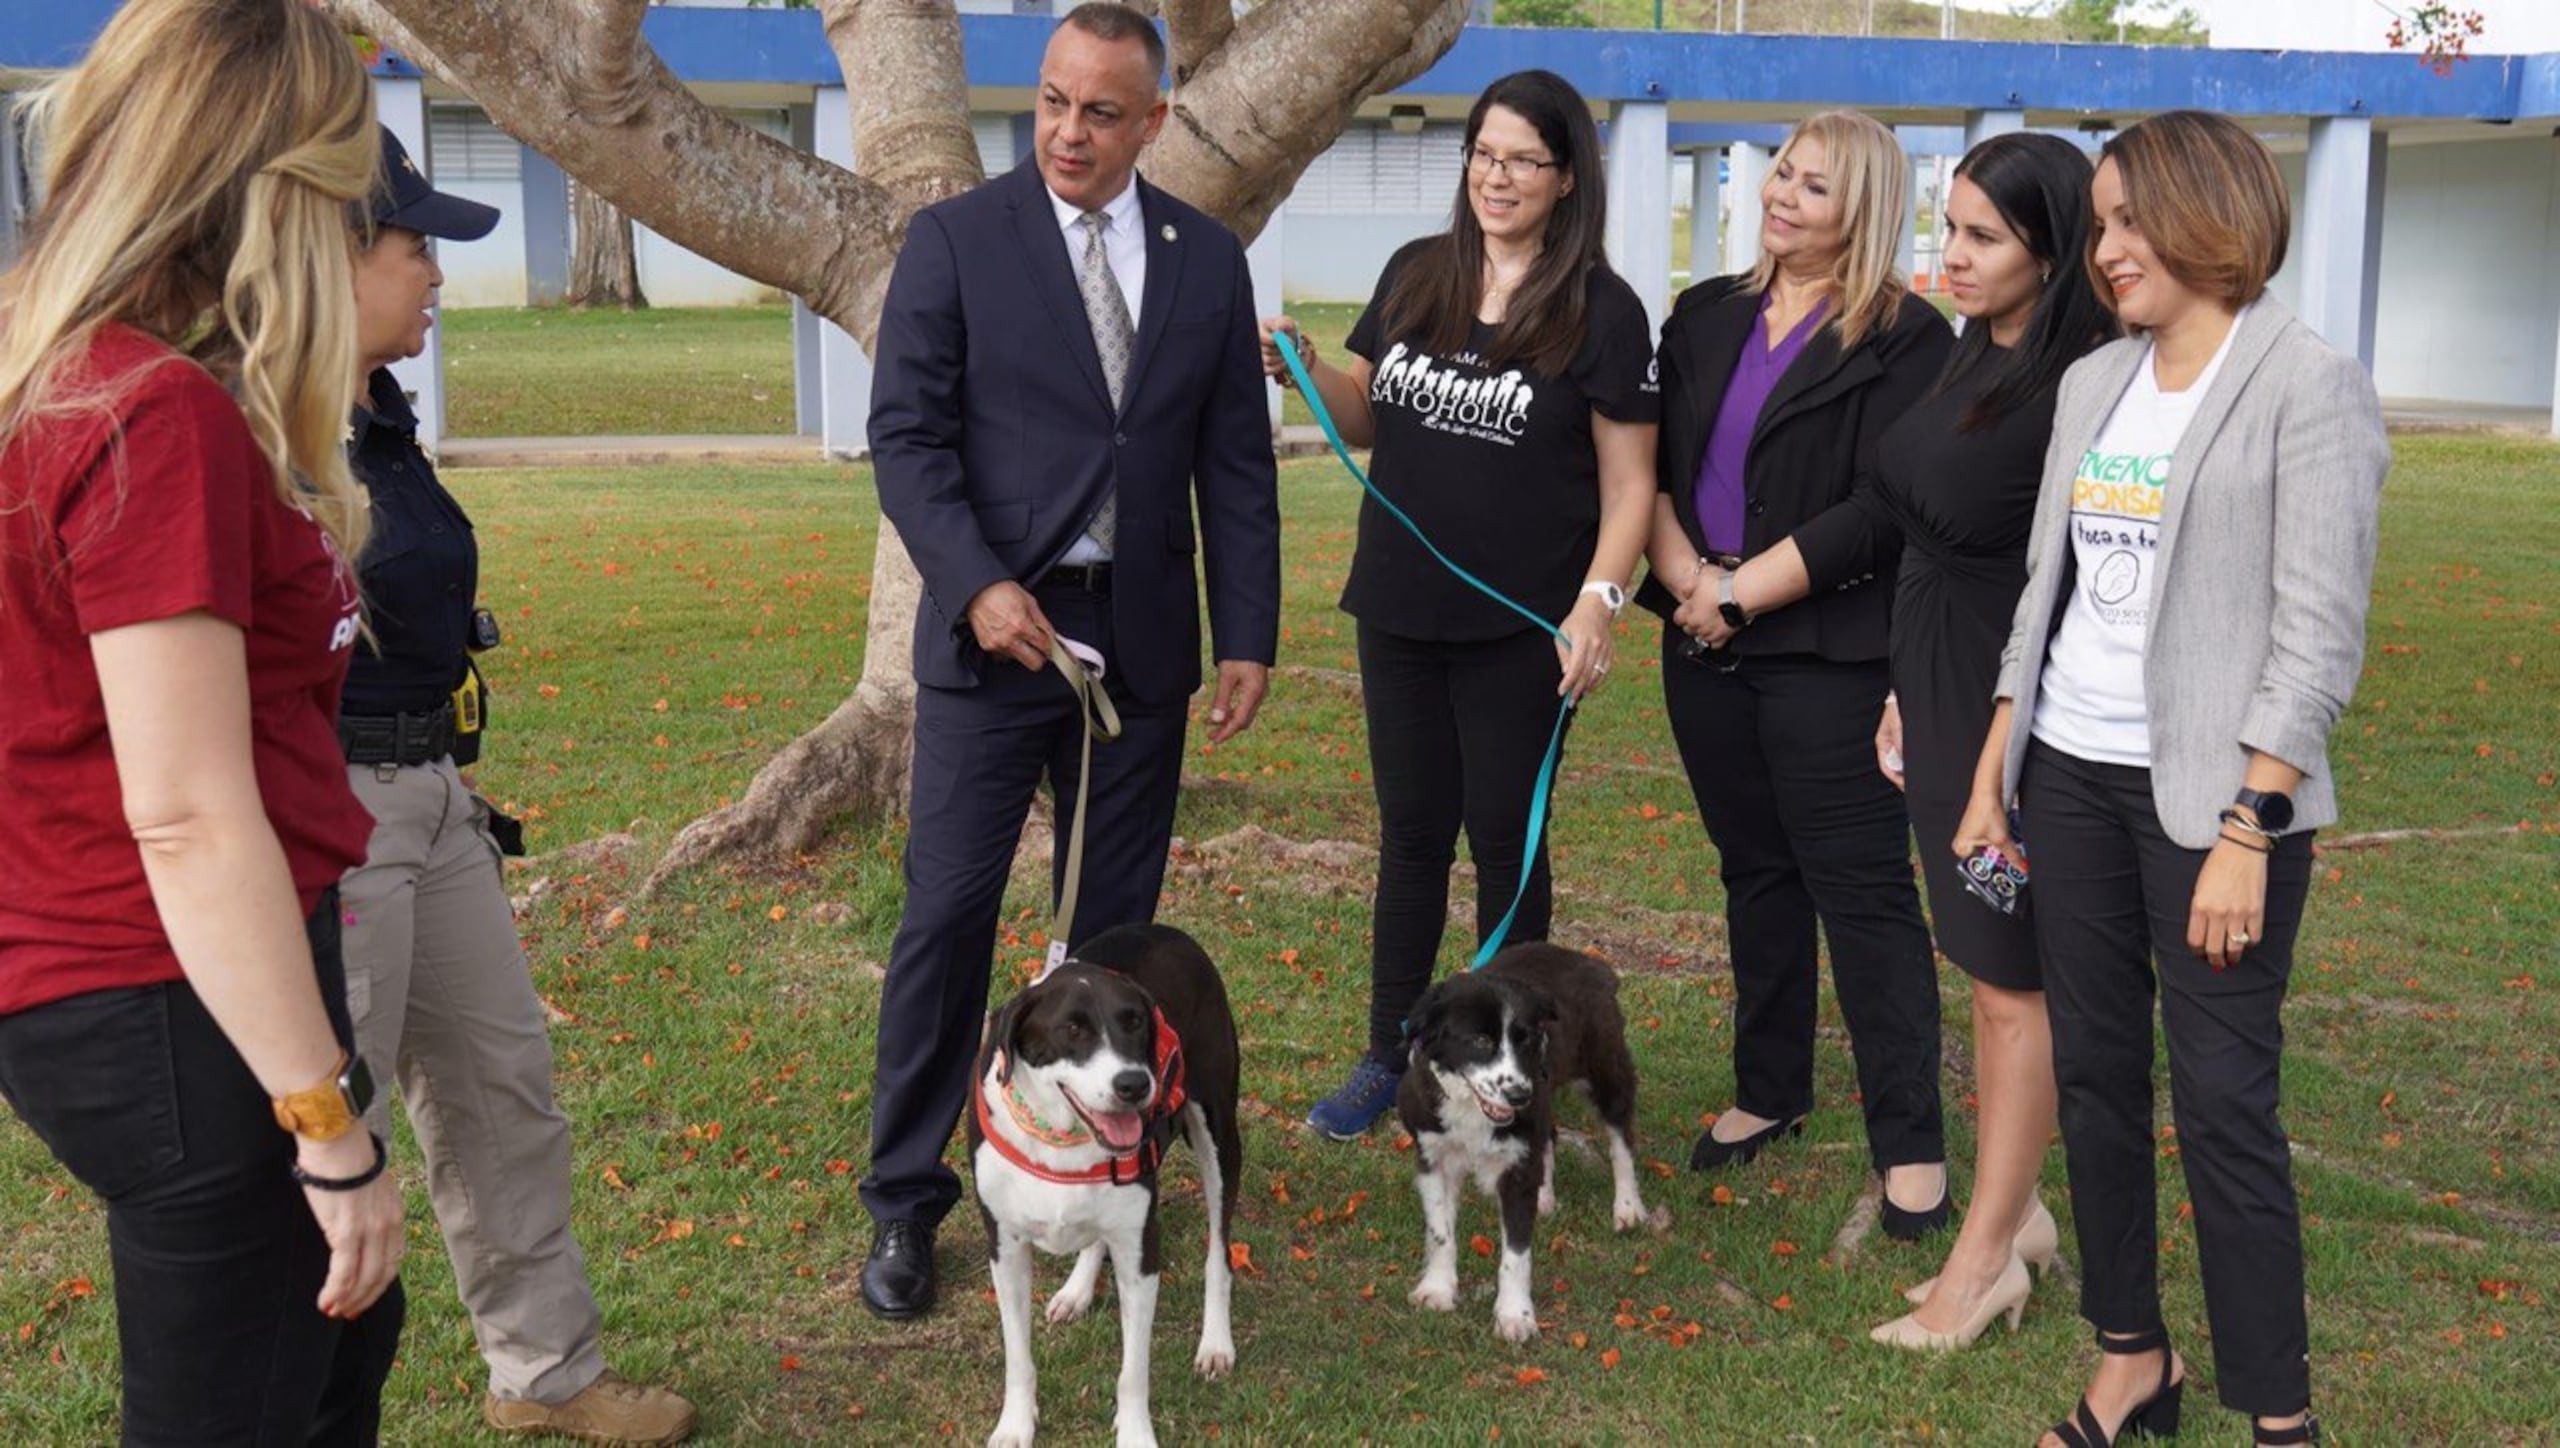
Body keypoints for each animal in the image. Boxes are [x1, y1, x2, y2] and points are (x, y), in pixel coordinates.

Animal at [962, 931, 1244, 1448]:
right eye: (1073, 1030)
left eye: (1135, 1023)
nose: (1134, 1084)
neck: (1062, 1138)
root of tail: (1175, 934)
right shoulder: (1005, 1248)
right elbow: (1018, 1356)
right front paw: (1015, 1425)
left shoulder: (1141, 1254)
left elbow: (1133, 1372)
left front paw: (1135, 1435)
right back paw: (1076, 1291)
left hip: (1219, 1134)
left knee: (1219, 1249)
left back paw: (1215, 1341)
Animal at [1392, 946, 1648, 1340]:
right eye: (1481, 1041)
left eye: (1526, 1039)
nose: (1518, 1096)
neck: (1471, 1108)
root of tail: (1586, 959)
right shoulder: (1433, 1156)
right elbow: (1440, 1232)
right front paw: (1438, 1289)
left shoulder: (1516, 1169)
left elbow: (1516, 1254)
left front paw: (1515, 1316)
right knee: (1550, 1135)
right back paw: (1545, 1196)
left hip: (1603, 1071)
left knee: (1621, 1141)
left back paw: (1628, 1206)